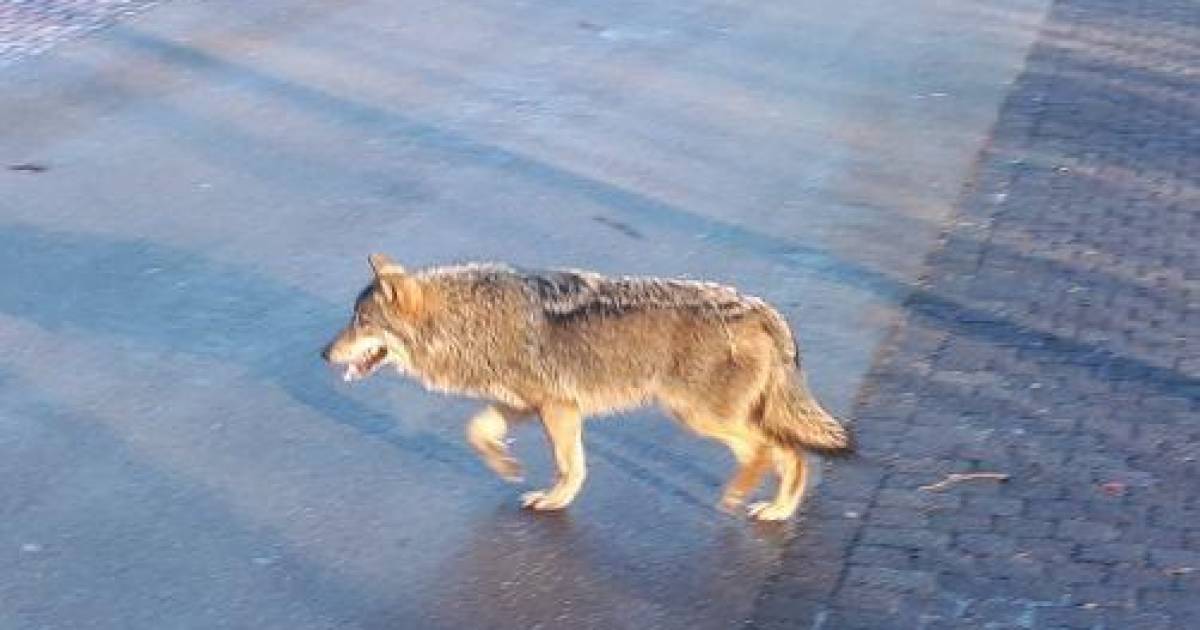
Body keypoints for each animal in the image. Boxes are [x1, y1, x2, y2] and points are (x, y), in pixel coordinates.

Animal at [322, 254, 853, 521]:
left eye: (360, 322)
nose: (323, 353)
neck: (466, 322)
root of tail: (763, 310)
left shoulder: (559, 409)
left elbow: (569, 466)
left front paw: (553, 501)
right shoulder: (527, 405)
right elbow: (477, 431)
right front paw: (508, 466)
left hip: (699, 418)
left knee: (772, 452)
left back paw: (739, 498)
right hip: (714, 420)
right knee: (791, 456)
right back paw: (778, 510)